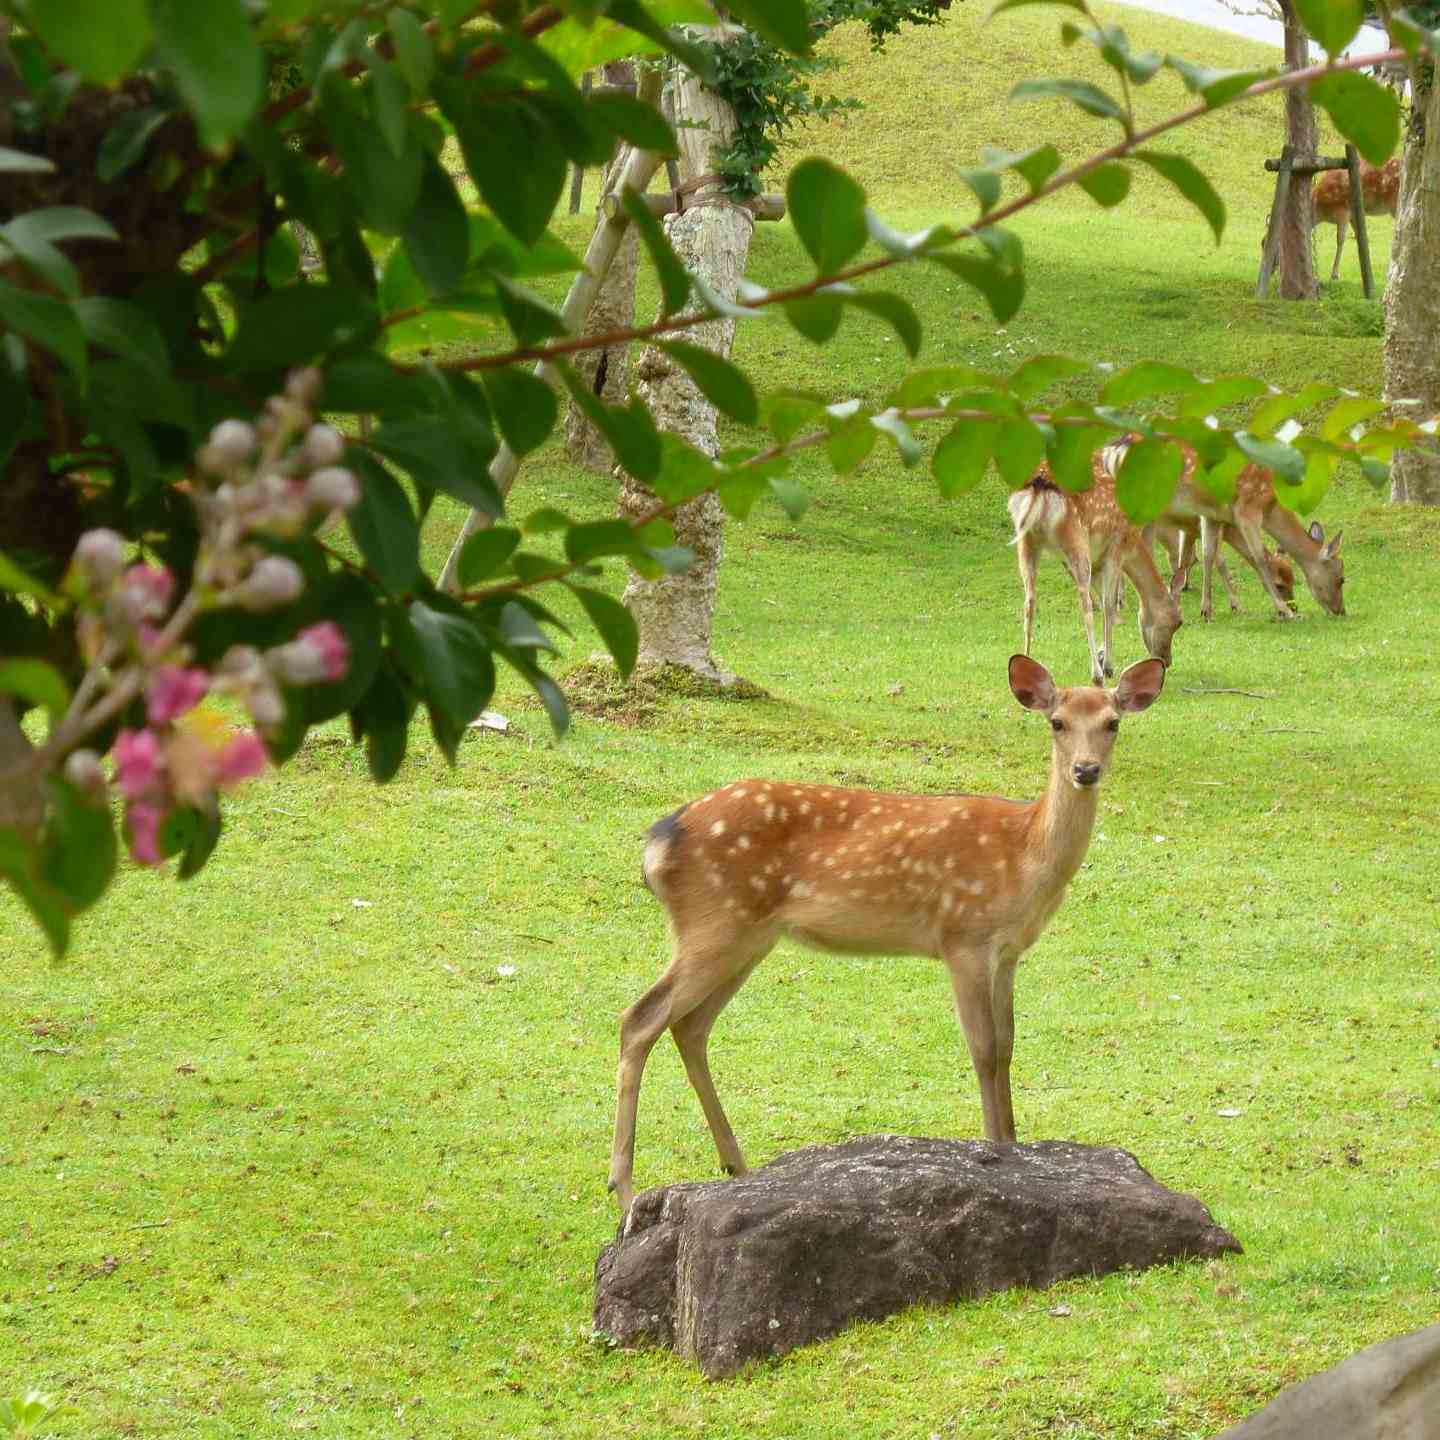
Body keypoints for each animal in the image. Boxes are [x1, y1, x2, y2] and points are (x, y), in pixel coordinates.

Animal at [607, 656, 1169, 1215]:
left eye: (1112, 723)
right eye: (1057, 723)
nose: (1086, 770)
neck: (1025, 856)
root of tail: (657, 842)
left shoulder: (1009, 952)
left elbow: (1008, 1045)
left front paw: (1016, 1144)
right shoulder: (962, 936)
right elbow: (984, 1048)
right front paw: (997, 1151)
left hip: (747, 937)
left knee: (690, 1026)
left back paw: (736, 1164)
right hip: (716, 921)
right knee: (641, 1017)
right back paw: (626, 1187)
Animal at [1008, 446, 1175, 688]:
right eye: (1175, 622)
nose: (1167, 660)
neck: (1133, 543)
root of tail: (1040, 484)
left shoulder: (1095, 562)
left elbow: (1108, 605)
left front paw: (1103, 654)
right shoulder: (1115, 551)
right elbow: (1109, 604)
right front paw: (1108, 665)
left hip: (1027, 541)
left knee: (1029, 600)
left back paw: (1026, 660)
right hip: (1077, 539)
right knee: (1085, 604)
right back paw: (1096, 674)